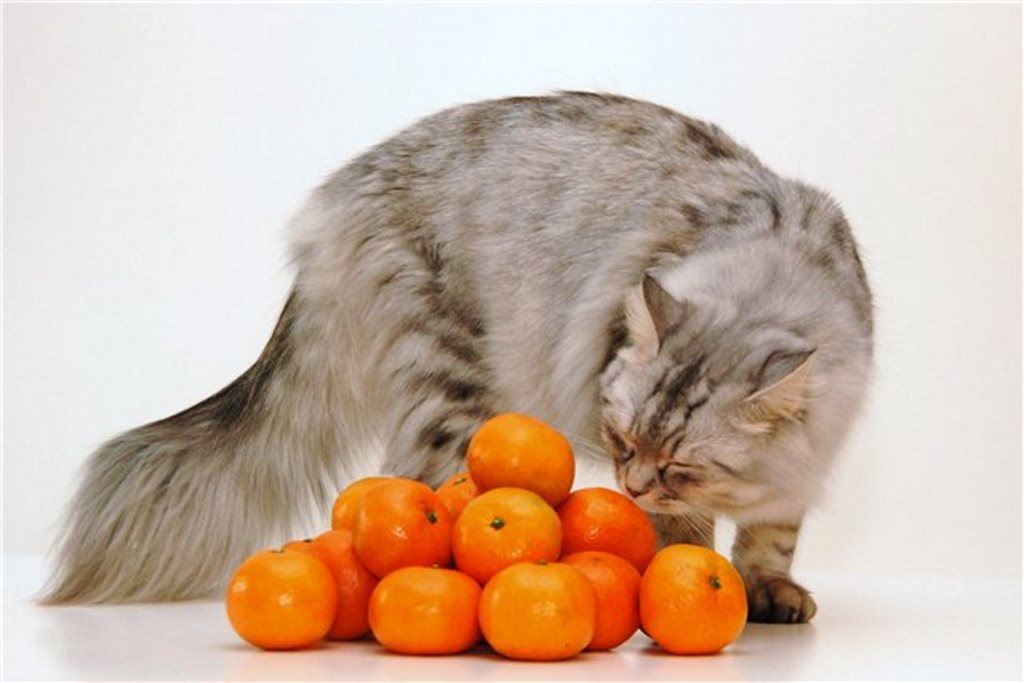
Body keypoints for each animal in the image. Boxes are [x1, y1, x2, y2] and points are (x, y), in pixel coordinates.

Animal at [39, 92, 872, 626]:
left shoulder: (812, 449)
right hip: (453, 381)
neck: (775, 268)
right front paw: (686, 576)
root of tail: (337, 201)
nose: (633, 485)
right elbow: (688, 538)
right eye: (623, 441)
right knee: (419, 489)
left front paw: (768, 589)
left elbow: (773, 535)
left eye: (680, 464)